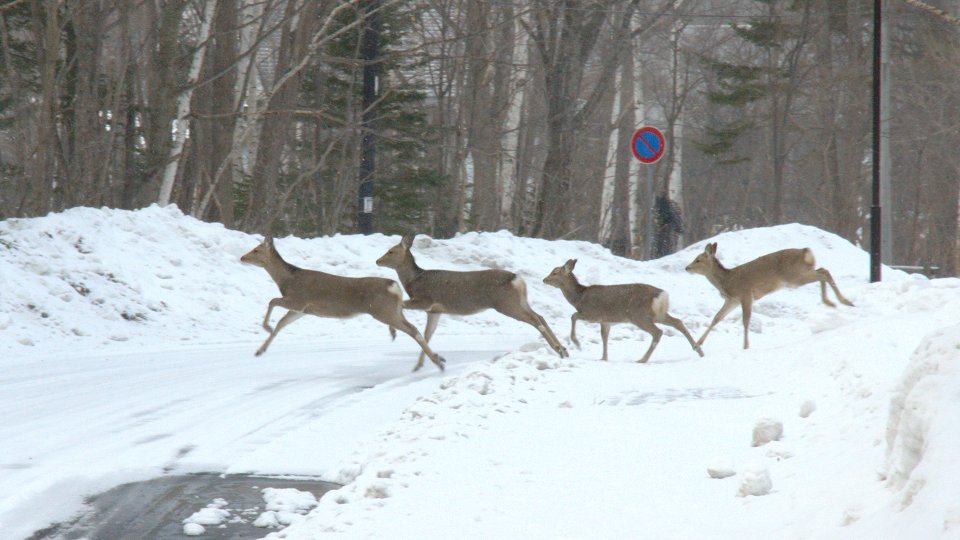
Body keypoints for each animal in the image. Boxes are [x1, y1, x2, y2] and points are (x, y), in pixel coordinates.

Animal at [242, 236, 448, 372]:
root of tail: (394, 285)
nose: (242, 258)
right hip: (393, 310)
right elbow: (281, 324)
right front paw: (260, 350)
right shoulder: (301, 309)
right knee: (412, 327)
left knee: (413, 330)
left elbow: (272, 301)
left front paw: (266, 327)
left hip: (382, 311)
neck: (286, 281)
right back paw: (434, 356)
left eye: (256, 250)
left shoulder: (297, 299)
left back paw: (437, 362)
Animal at [376, 232, 568, 368]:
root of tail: (517, 279)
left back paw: (558, 349)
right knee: (540, 316)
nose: (378, 260)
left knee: (535, 319)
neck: (414, 281)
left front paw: (393, 332)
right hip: (520, 301)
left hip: (506, 304)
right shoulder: (435, 310)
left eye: (391, 251)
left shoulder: (425, 300)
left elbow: (402, 307)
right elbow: (427, 334)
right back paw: (563, 349)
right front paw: (419, 365)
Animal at [540, 258, 704, 362]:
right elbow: (604, 337)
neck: (578, 298)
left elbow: (573, 316)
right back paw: (699, 350)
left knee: (658, 332)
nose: (544, 279)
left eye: (555, 272)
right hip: (658, 314)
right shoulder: (606, 321)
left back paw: (642, 359)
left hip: (638, 315)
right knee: (678, 322)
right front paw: (603, 358)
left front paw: (577, 343)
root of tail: (661, 295)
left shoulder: (592, 313)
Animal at [684, 242, 856, 350]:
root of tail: (805, 252)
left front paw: (745, 346)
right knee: (822, 270)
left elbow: (745, 321)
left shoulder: (746, 294)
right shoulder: (732, 300)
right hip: (799, 275)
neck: (726, 282)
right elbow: (716, 318)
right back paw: (832, 302)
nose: (686, 267)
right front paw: (697, 344)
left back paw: (843, 301)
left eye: (698, 259)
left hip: (794, 277)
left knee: (823, 272)